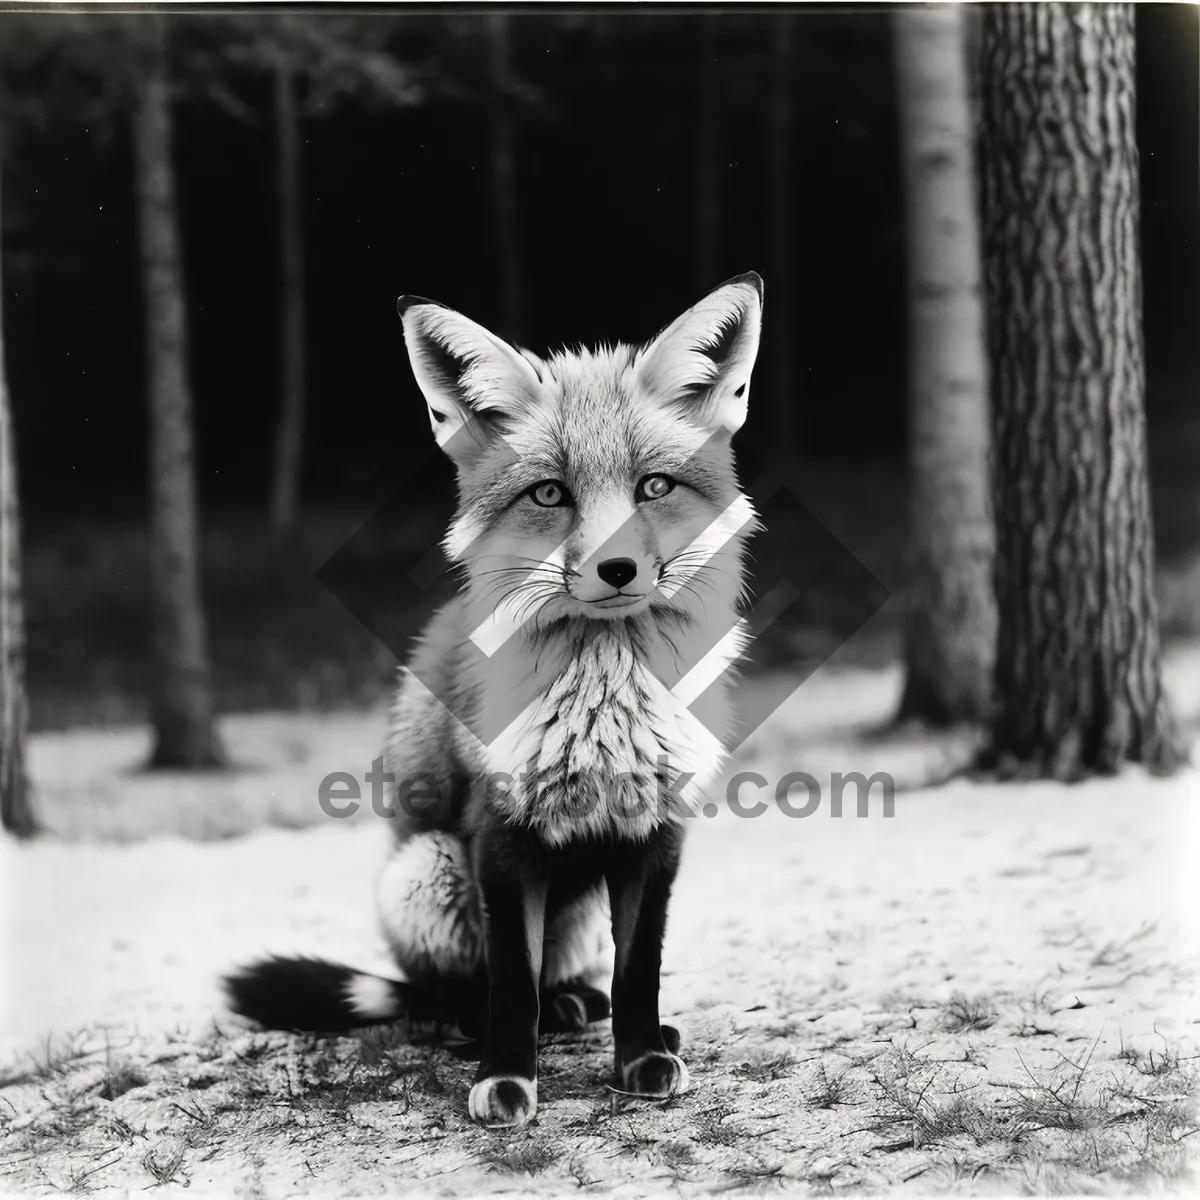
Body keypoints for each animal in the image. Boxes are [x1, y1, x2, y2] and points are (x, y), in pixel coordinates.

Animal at [226, 270, 758, 1123]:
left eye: (653, 486)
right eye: (549, 493)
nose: (616, 569)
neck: (602, 706)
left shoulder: (657, 832)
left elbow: (639, 969)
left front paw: (641, 1055)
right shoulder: (499, 835)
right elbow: (511, 983)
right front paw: (507, 1077)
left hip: (575, 911)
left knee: (568, 980)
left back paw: (584, 1009)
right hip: (426, 870)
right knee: (457, 998)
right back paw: (478, 1029)